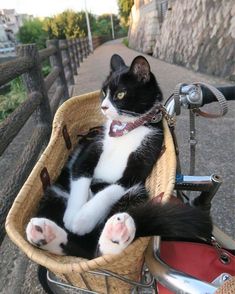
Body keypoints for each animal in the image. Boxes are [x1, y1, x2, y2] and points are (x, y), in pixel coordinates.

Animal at [25, 55, 213, 258]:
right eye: (103, 92)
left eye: (121, 95)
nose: (103, 106)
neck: (127, 128)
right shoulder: (92, 147)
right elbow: (81, 173)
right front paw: (72, 214)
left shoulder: (145, 157)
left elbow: (114, 188)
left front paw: (83, 218)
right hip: (54, 191)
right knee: (83, 248)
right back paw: (45, 234)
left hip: (137, 193)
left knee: (97, 248)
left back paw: (116, 232)